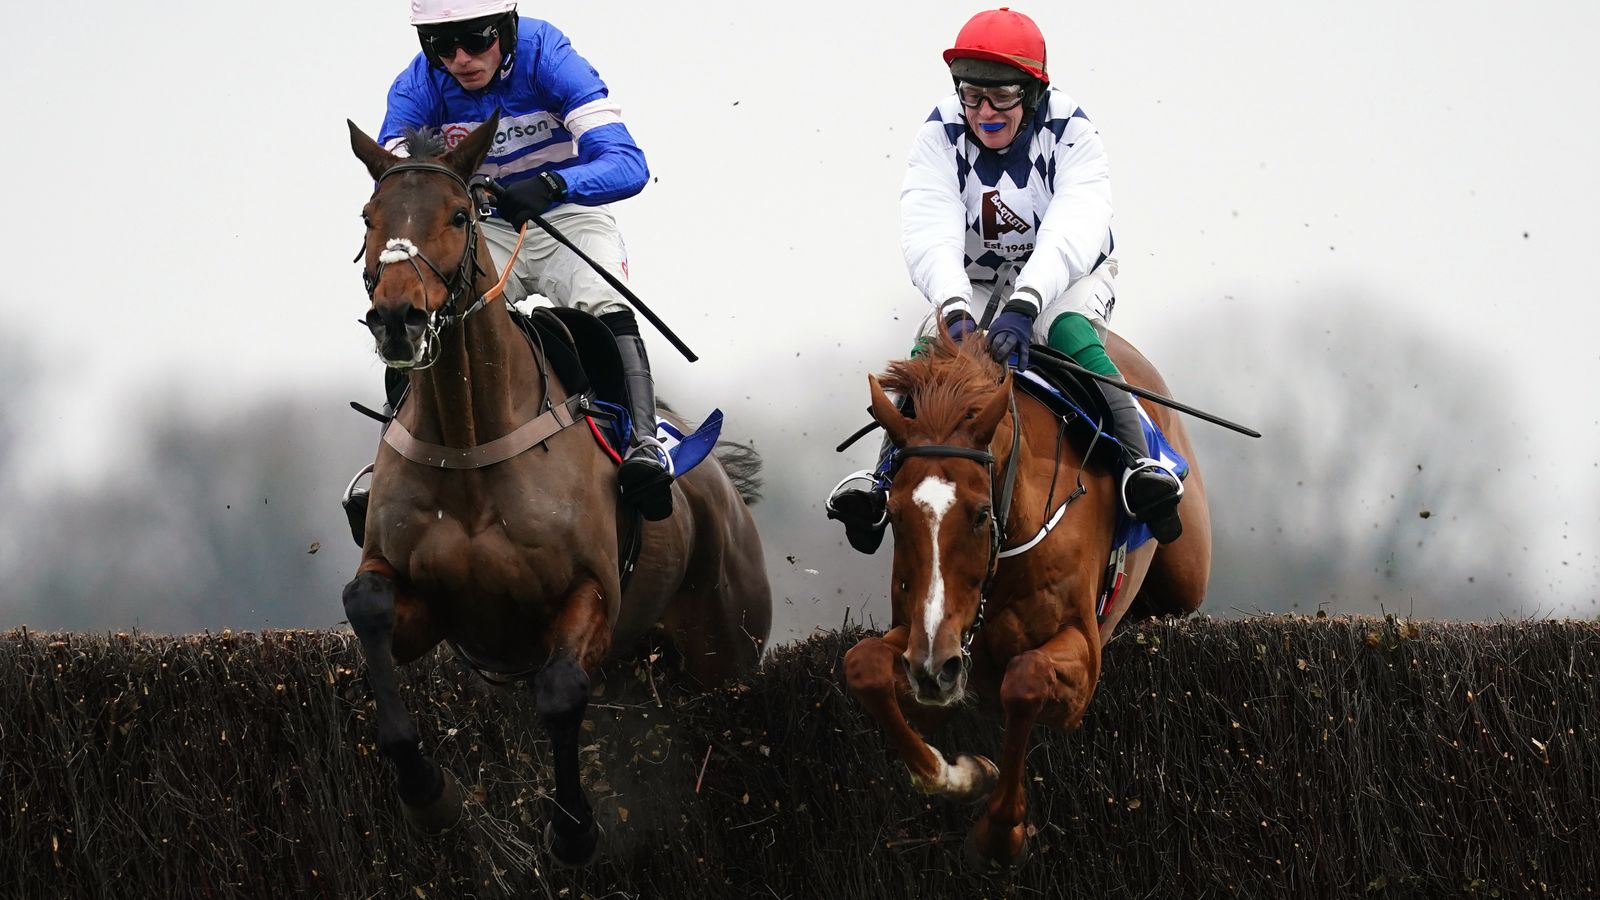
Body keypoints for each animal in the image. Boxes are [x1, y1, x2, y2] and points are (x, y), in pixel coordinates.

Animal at [340, 113, 771, 864]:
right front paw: (430, 796)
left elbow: (561, 692)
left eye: (459, 214)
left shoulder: (588, 593)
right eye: (369, 216)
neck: (469, 441)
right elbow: (368, 609)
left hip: (729, 652)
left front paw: (573, 830)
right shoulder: (424, 602)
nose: (397, 319)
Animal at [844, 328, 1203, 864]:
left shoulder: (1083, 651)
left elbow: (1025, 679)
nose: (933, 671)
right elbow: (863, 666)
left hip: (1186, 572)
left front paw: (1000, 834)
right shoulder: (918, 633)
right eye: (896, 512)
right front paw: (958, 775)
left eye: (978, 514)